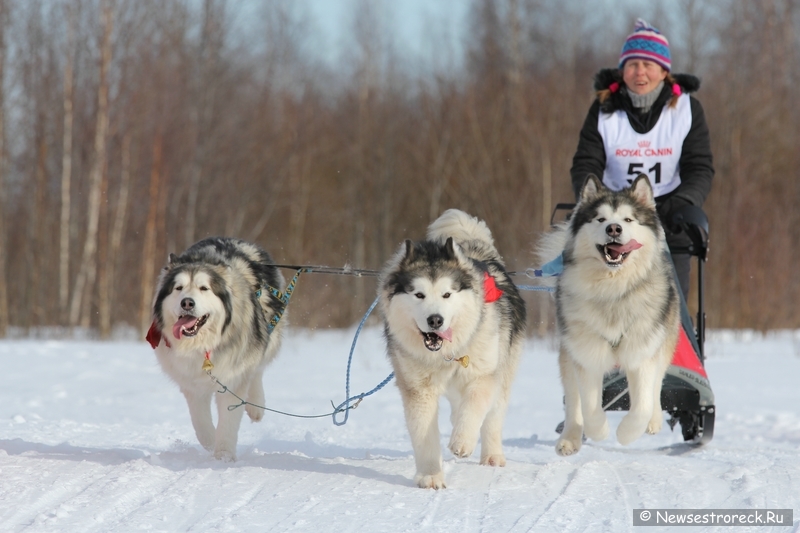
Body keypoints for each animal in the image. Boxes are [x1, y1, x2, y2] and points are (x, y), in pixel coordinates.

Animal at [147, 235, 288, 460]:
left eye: (204, 288)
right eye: (178, 288)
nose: (187, 303)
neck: (203, 345)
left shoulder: (233, 376)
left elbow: (229, 422)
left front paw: (223, 455)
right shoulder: (192, 383)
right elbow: (200, 422)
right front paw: (211, 442)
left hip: (268, 332)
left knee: (257, 368)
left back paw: (256, 407)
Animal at [380, 209, 528, 490]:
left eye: (447, 294)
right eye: (418, 295)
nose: (435, 320)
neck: (446, 354)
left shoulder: (483, 376)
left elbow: (474, 408)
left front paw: (461, 441)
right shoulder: (419, 389)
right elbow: (424, 434)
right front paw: (430, 476)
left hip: (502, 370)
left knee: (492, 416)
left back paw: (492, 455)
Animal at [536, 177, 680, 456]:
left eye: (628, 219)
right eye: (600, 219)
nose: (613, 229)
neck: (613, 289)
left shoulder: (642, 350)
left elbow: (643, 404)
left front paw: (626, 433)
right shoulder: (586, 351)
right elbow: (589, 405)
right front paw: (599, 430)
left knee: (657, 384)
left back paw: (654, 421)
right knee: (573, 401)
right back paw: (570, 438)